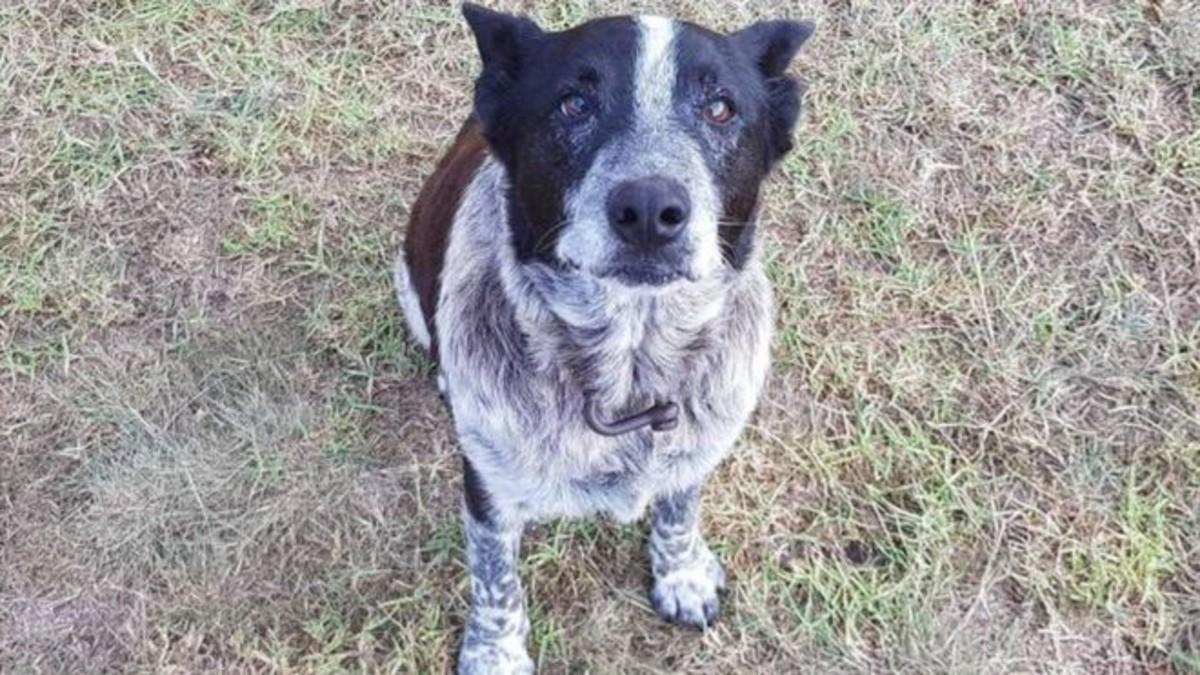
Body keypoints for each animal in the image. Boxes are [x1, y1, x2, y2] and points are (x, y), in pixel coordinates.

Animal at [393, 3, 816, 667]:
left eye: (720, 108)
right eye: (574, 104)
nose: (649, 209)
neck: (629, 365)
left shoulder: (695, 449)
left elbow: (678, 509)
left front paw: (681, 575)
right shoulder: (489, 485)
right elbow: (494, 578)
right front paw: (496, 654)